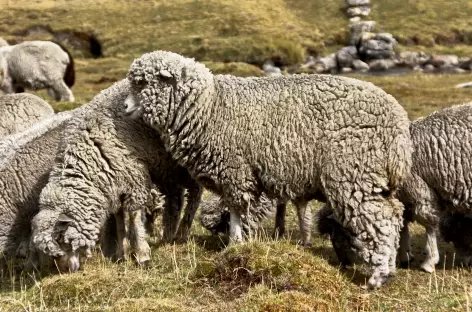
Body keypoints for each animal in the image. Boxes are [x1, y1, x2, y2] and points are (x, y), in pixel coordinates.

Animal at [30, 79, 201, 272]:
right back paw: (168, 236)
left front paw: (142, 254)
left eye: (61, 239)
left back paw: (183, 233)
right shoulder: (115, 184)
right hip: (165, 166)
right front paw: (122, 254)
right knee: (176, 196)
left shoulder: (135, 179)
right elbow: (119, 221)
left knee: (195, 190)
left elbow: (133, 218)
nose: (67, 271)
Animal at [123, 49, 412, 290]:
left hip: (353, 172)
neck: (209, 106)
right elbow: (239, 211)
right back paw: (389, 268)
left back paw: (378, 276)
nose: (125, 107)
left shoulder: (235, 171)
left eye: (142, 83)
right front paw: (239, 244)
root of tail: (398, 124)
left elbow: (237, 212)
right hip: (374, 178)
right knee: (395, 213)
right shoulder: (238, 175)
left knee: (381, 219)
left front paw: (235, 245)